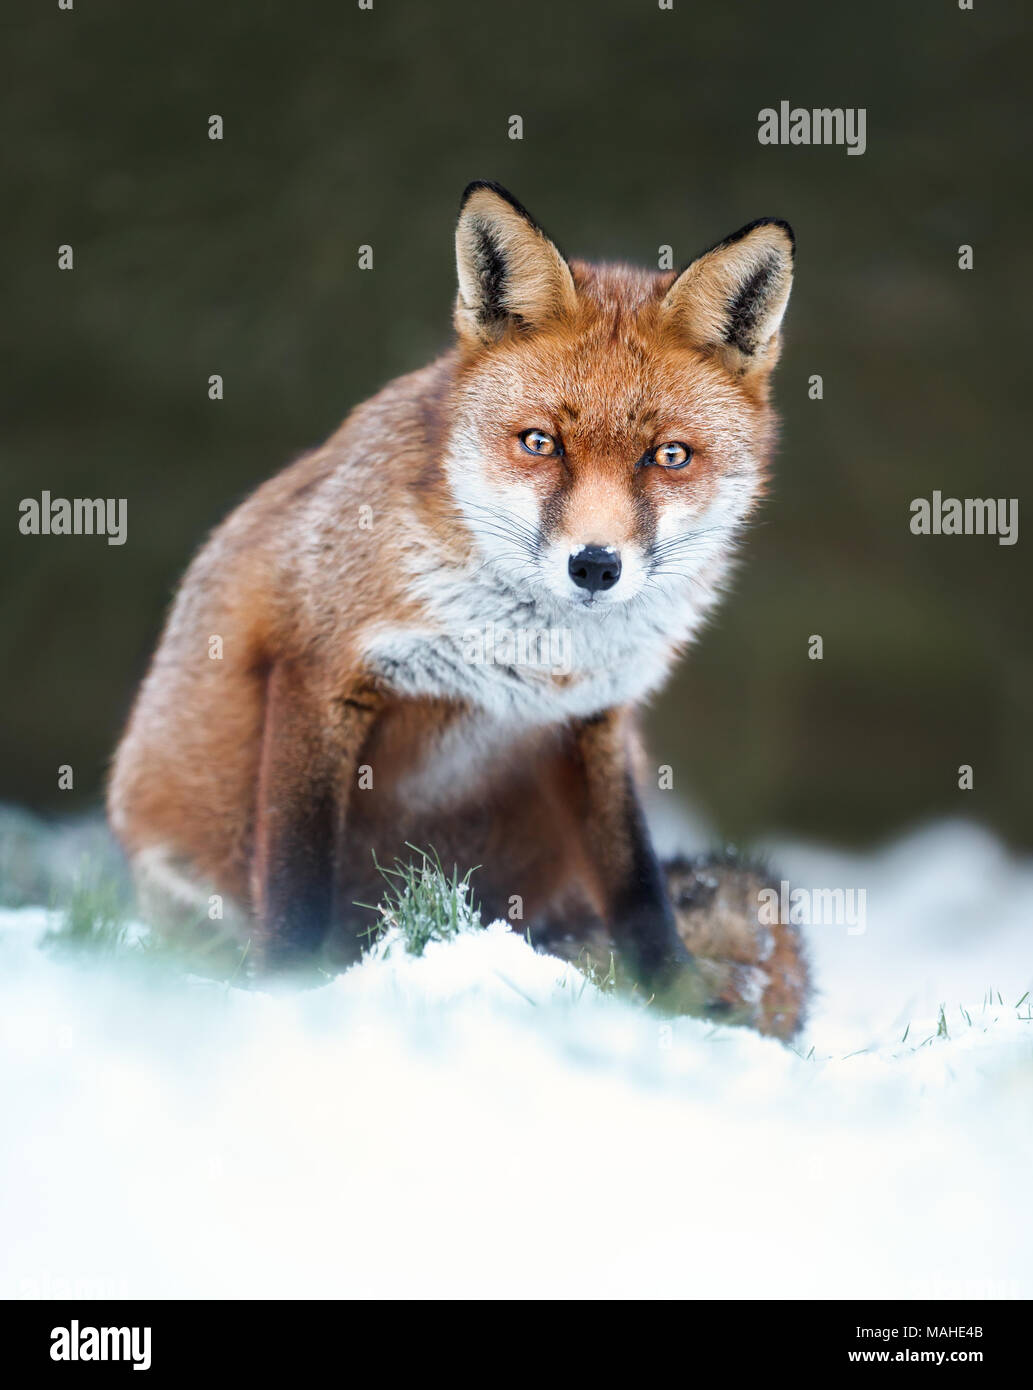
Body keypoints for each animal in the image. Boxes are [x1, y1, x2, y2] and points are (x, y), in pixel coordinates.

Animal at [107, 179, 800, 1017]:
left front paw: (674, 997)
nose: (594, 566)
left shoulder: (594, 719)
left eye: (668, 456)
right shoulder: (318, 673)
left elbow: (638, 887)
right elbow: (298, 885)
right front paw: (288, 994)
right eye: (539, 443)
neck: (528, 658)